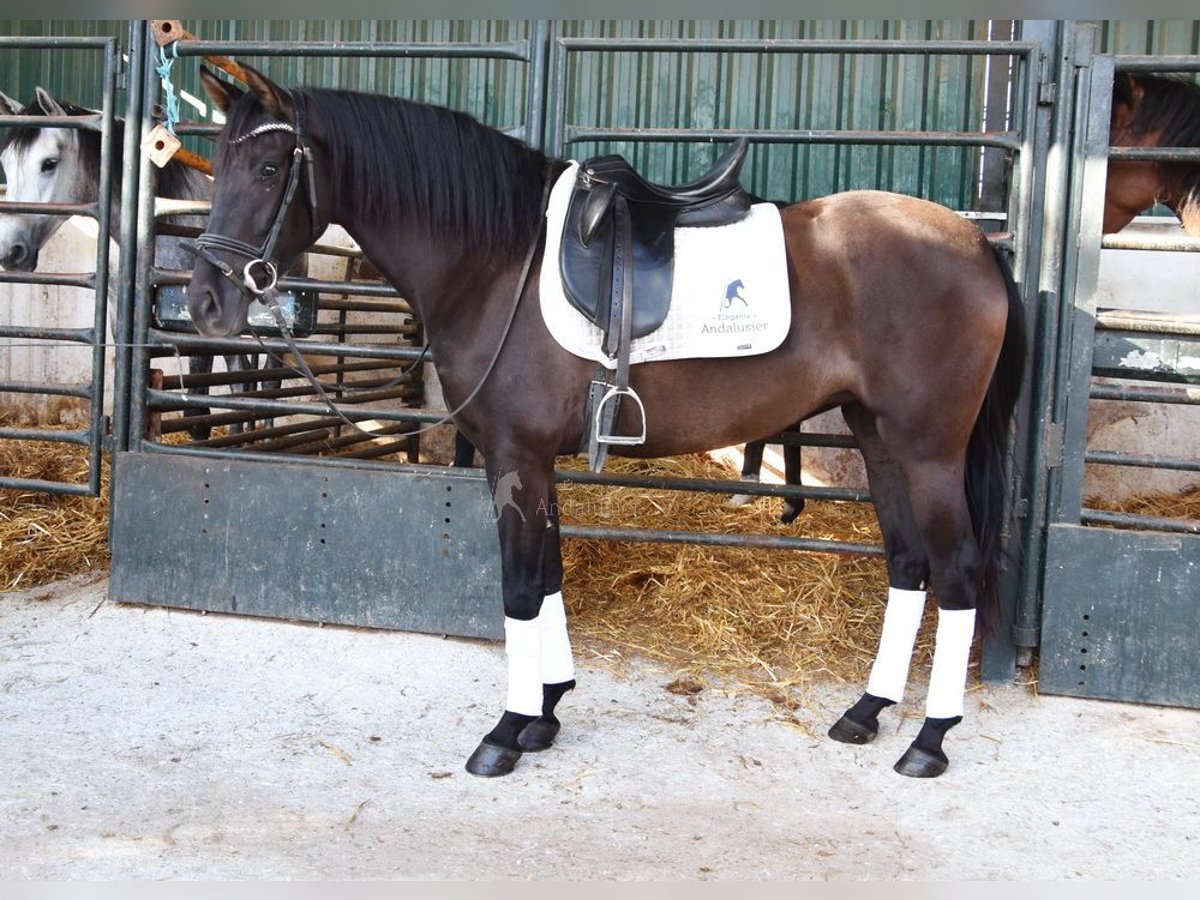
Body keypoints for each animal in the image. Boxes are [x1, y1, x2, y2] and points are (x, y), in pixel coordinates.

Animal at [187, 65, 1026, 780]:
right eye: (219, 164)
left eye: (270, 170)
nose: (205, 304)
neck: (499, 261)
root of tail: (975, 244)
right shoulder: (531, 462)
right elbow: (549, 574)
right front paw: (546, 712)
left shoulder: (517, 459)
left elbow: (520, 586)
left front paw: (505, 731)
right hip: (880, 440)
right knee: (909, 567)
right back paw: (867, 712)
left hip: (930, 451)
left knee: (955, 574)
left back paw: (928, 740)